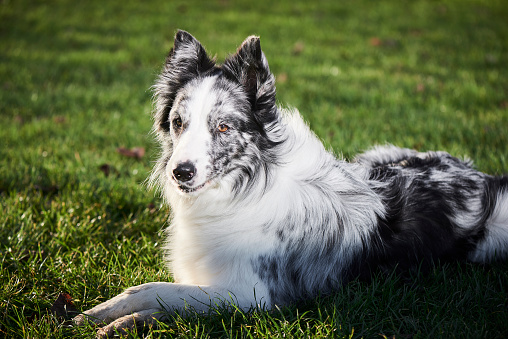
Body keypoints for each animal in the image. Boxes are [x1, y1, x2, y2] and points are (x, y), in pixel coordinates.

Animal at [74, 31, 508, 338]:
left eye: (223, 127)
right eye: (178, 123)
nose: (180, 172)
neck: (241, 190)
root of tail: (478, 174)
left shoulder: (250, 295)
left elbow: (156, 291)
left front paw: (117, 322)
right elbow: (149, 293)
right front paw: (91, 315)